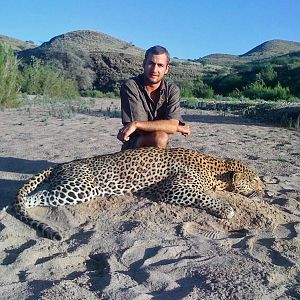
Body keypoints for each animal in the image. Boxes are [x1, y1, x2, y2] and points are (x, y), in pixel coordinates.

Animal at [13, 146, 264, 240]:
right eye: (254, 179)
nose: (265, 190)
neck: (216, 170)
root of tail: (60, 165)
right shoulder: (172, 189)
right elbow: (204, 196)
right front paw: (226, 209)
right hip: (81, 188)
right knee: (32, 197)